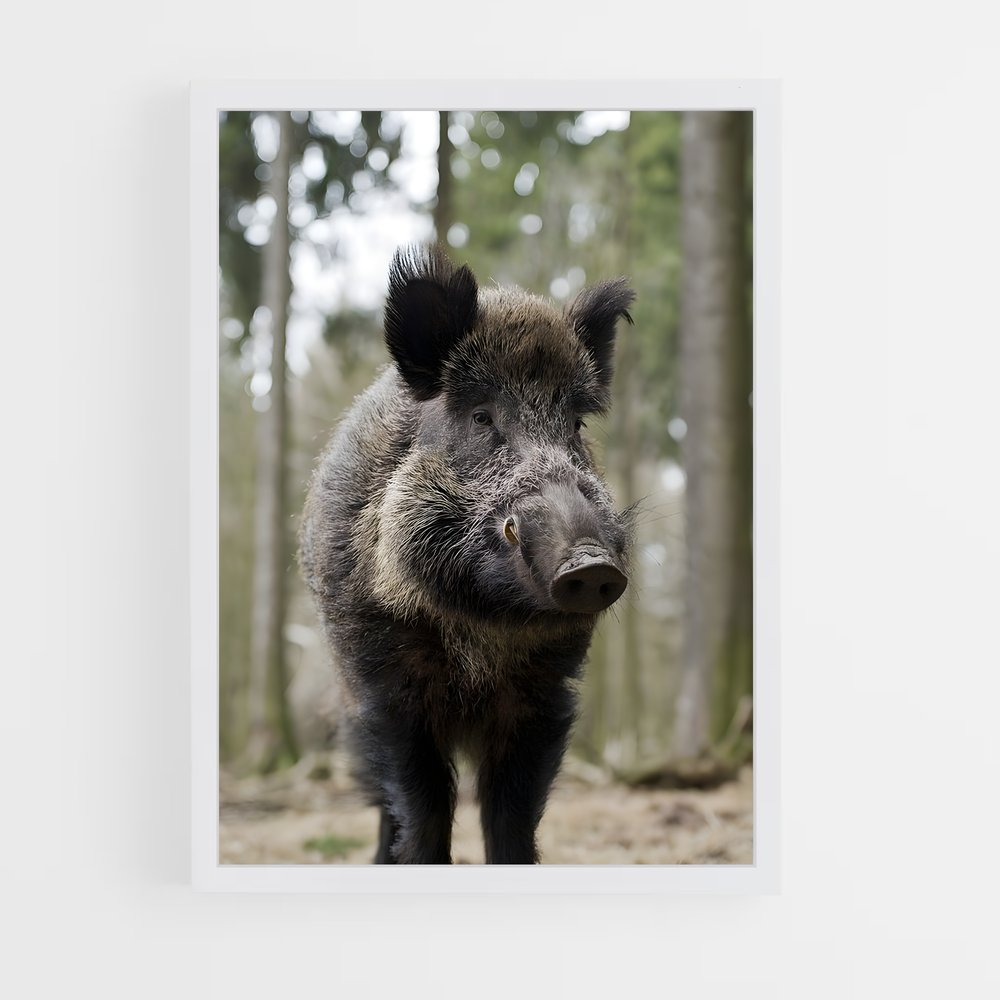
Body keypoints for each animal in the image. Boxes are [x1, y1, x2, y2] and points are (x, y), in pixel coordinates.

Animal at [299, 244, 635, 864]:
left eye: (575, 425)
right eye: (482, 417)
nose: (591, 563)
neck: (481, 631)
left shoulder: (544, 694)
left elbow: (513, 818)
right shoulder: (387, 690)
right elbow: (423, 809)